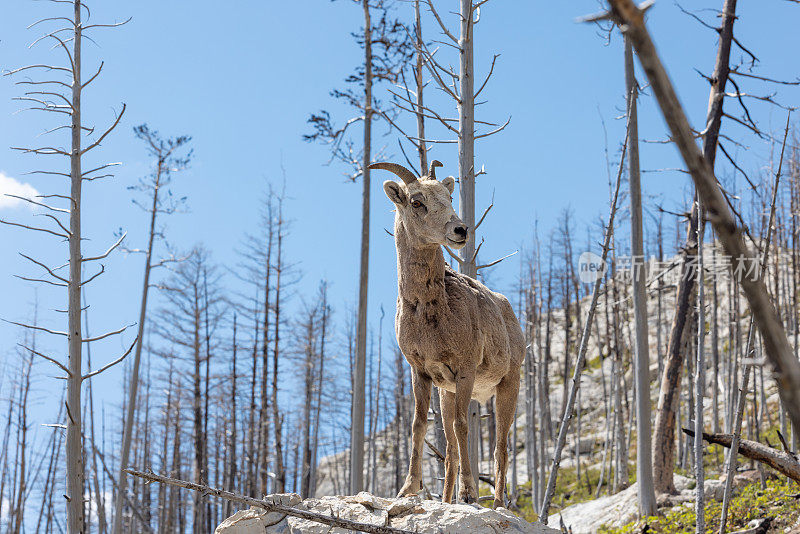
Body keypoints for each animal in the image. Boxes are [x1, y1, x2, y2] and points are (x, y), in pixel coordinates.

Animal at [370, 160, 524, 510]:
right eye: (417, 202)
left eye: (449, 198)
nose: (460, 231)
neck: (430, 310)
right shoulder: (423, 373)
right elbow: (418, 426)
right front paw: (407, 490)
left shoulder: (464, 370)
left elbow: (462, 425)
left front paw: (468, 494)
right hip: (447, 393)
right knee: (451, 450)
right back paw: (445, 499)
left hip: (508, 385)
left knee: (501, 447)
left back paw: (497, 504)